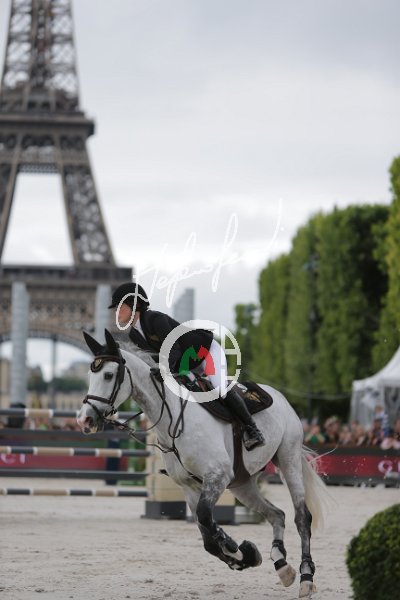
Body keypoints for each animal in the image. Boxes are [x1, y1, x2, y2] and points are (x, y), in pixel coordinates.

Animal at [77, 329, 328, 598]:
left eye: (108, 375)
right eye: (90, 375)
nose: (84, 420)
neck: (172, 419)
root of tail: (281, 397)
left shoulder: (217, 477)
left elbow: (206, 520)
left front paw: (236, 549)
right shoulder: (189, 486)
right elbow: (207, 536)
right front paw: (243, 555)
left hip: (288, 460)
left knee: (301, 518)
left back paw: (305, 578)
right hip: (242, 484)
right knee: (277, 515)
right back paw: (282, 566)